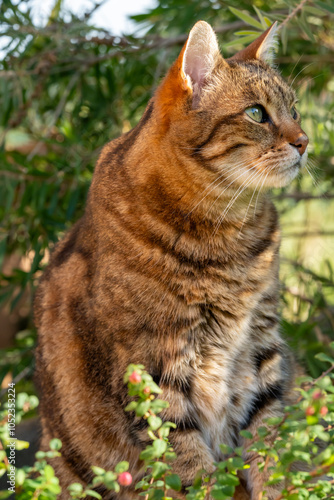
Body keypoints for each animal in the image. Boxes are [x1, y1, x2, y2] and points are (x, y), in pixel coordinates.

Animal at [34, 20, 308, 500]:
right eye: (257, 113)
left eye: (293, 109)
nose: (306, 141)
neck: (228, 238)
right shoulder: (152, 369)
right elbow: (189, 468)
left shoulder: (262, 348)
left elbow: (272, 447)